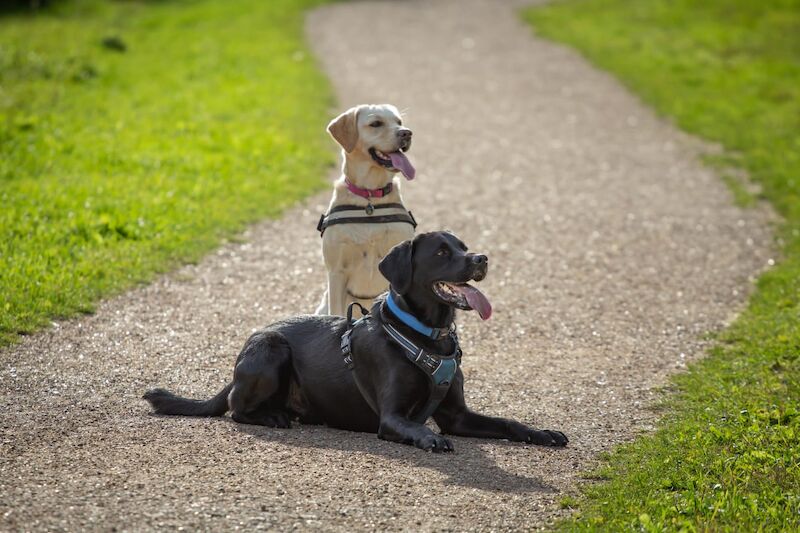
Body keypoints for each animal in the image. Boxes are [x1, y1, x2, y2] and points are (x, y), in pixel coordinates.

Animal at [144, 231, 568, 450]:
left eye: (464, 245)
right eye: (442, 251)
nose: (481, 258)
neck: (427, 335)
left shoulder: (457, 416)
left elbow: (508, 422)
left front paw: (542, 433)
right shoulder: (392, 418)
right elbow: (415, 427)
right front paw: (428, 439)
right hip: (271, 349)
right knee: (236, 407)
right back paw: (271, 416)